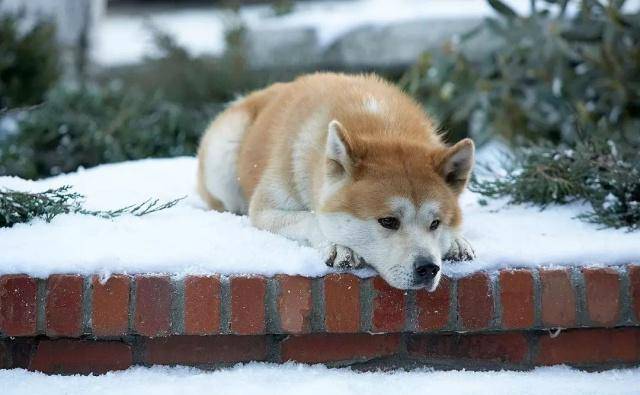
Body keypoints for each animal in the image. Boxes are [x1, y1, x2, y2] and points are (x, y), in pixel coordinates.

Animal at [198, 73, 472, 290]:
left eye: (435, 223)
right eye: (388, 221)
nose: (428, 268)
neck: (382, 128)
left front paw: (456, 242)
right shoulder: (264, 210)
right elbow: (311, 218)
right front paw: (339, 246)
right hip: (224, 154)